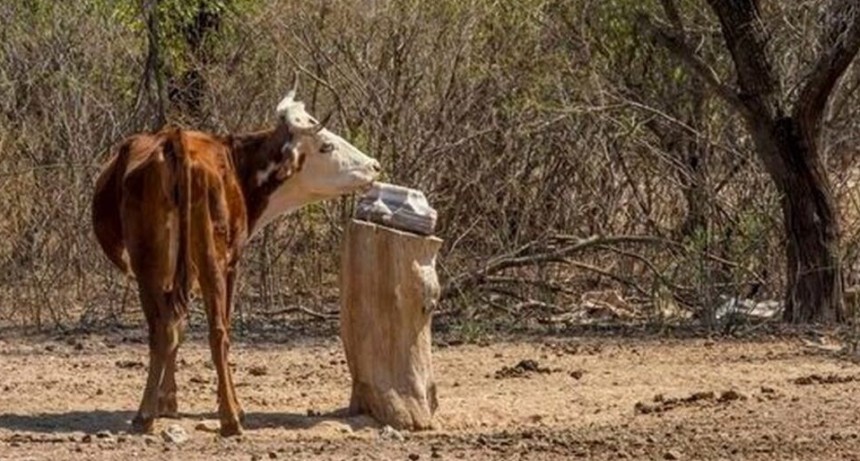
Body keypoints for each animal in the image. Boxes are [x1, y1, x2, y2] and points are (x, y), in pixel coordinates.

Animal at [90, 77, 380, 436]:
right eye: (326, 145)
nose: (374, 165)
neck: (237, 165)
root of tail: (176, 141)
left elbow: (176, 328)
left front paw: (167, 401)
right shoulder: (232, 263)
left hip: (150, 266)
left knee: (162, 328)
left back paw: (145, 415)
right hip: (211, 260)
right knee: (217, 332)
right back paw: (230, 418)